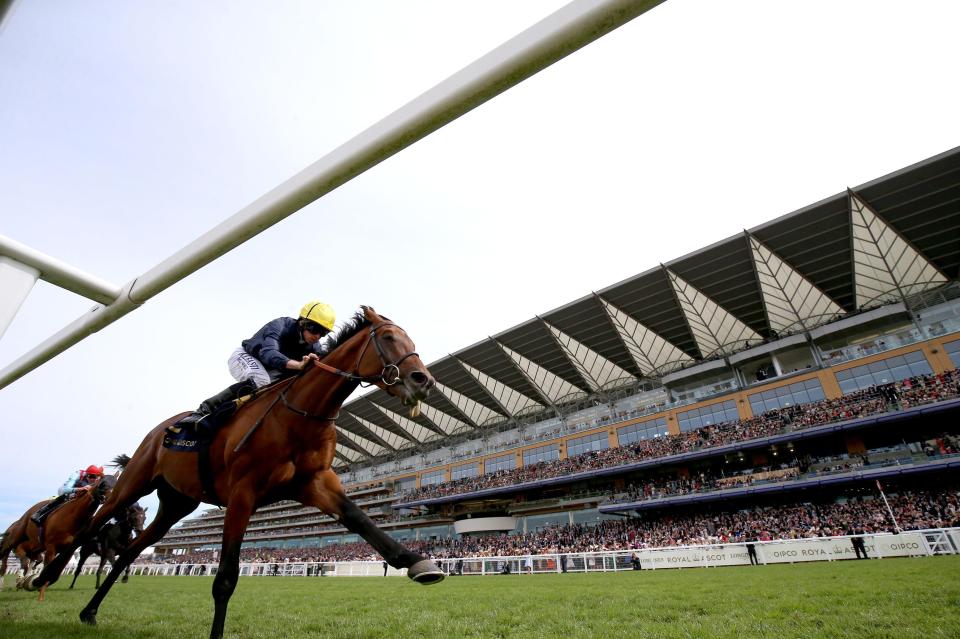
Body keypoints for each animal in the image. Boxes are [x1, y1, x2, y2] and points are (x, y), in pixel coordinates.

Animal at [31, 308, 444, 636]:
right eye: (388, 337)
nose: (423, 380)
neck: (300, 414)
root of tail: (160, 430)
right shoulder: (243, 493)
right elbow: (225, 578)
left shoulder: (315, 483)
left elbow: (363, 521)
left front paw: (417, 562)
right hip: (135, 483)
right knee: (91, 527)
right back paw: (44, 577)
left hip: (175, 504)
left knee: (130, 551)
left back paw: (89, 612)